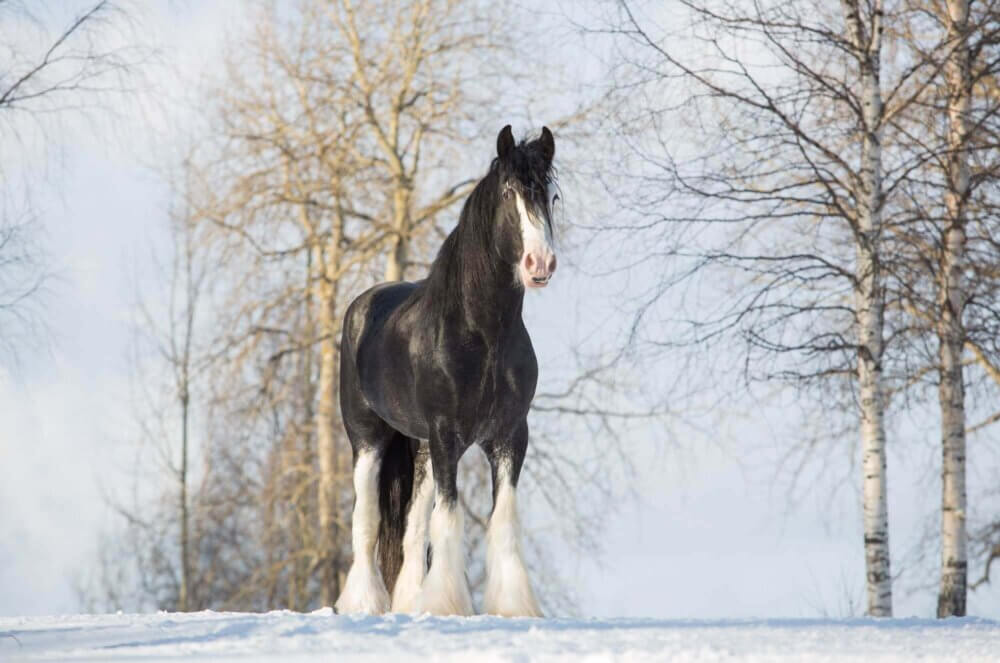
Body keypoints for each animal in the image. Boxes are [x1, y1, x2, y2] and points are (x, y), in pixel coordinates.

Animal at [332, 127, 560, 620]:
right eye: (509, 192)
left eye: (550, 196)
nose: (540, 264)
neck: (483, 334)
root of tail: (362, 306)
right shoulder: (447, 434)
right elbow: (449, 517)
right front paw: (449, 605)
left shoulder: (509, 435)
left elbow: (501, 517)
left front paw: (511, 607)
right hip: (368, 439)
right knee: (367, 521)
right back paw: (364, 603)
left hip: (419, 449)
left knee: (413, 529)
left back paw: (409, 602)